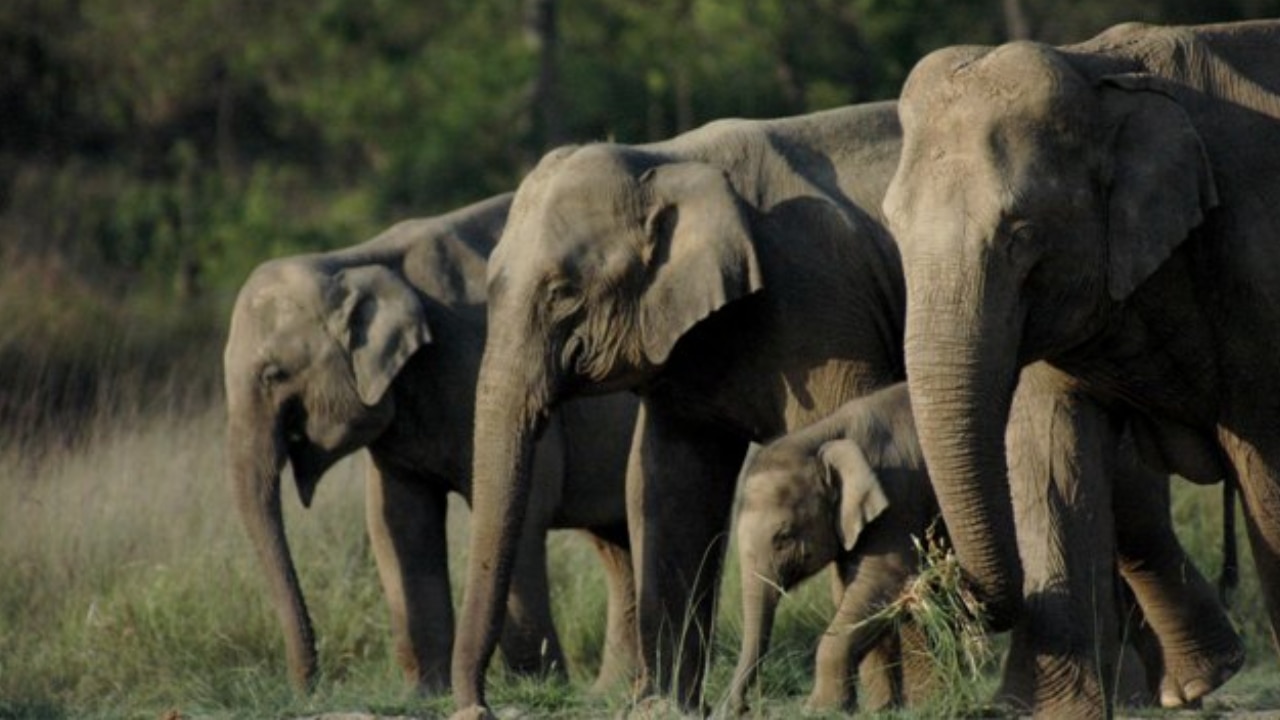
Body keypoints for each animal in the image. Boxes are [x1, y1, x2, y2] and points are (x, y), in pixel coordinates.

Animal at [225, 194, 640, 696]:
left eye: (273, 374)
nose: (309, 689)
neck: (353, 260)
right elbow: (398, 523)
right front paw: (428, 692)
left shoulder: (480, 362)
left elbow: (520, 511)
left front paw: (536, 689)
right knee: (617, 542)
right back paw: (613, 690)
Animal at [732, 384, 931, 707]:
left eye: (784, 537)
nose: (743, 708)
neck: (823, 436)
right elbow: (854, 590)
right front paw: (880, 708)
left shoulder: (898, 498)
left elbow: (884, 580)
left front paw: (819, 708)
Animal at [880, 19, 1280, 712]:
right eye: (892, 228)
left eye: (1021, 235)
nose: (939, 586)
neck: (1099, 72)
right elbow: (1050, 453)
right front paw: (1048, 711)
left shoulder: (1257, 258)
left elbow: (1267, 467)